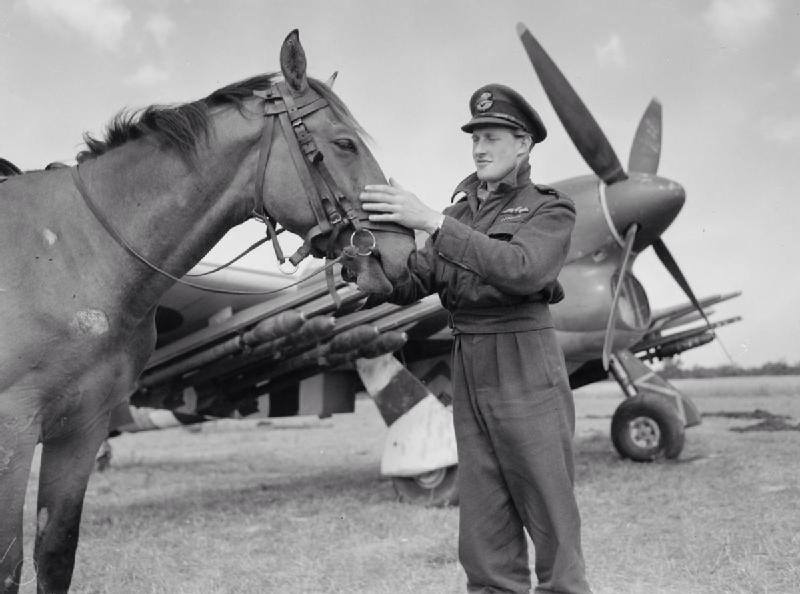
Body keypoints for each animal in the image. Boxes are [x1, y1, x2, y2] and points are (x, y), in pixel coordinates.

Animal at [0, 30, 412, 588]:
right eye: (345, 143)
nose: (402, 250)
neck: (75, 252)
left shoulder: (82, 428)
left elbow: (56, 554)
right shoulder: (14, 430)